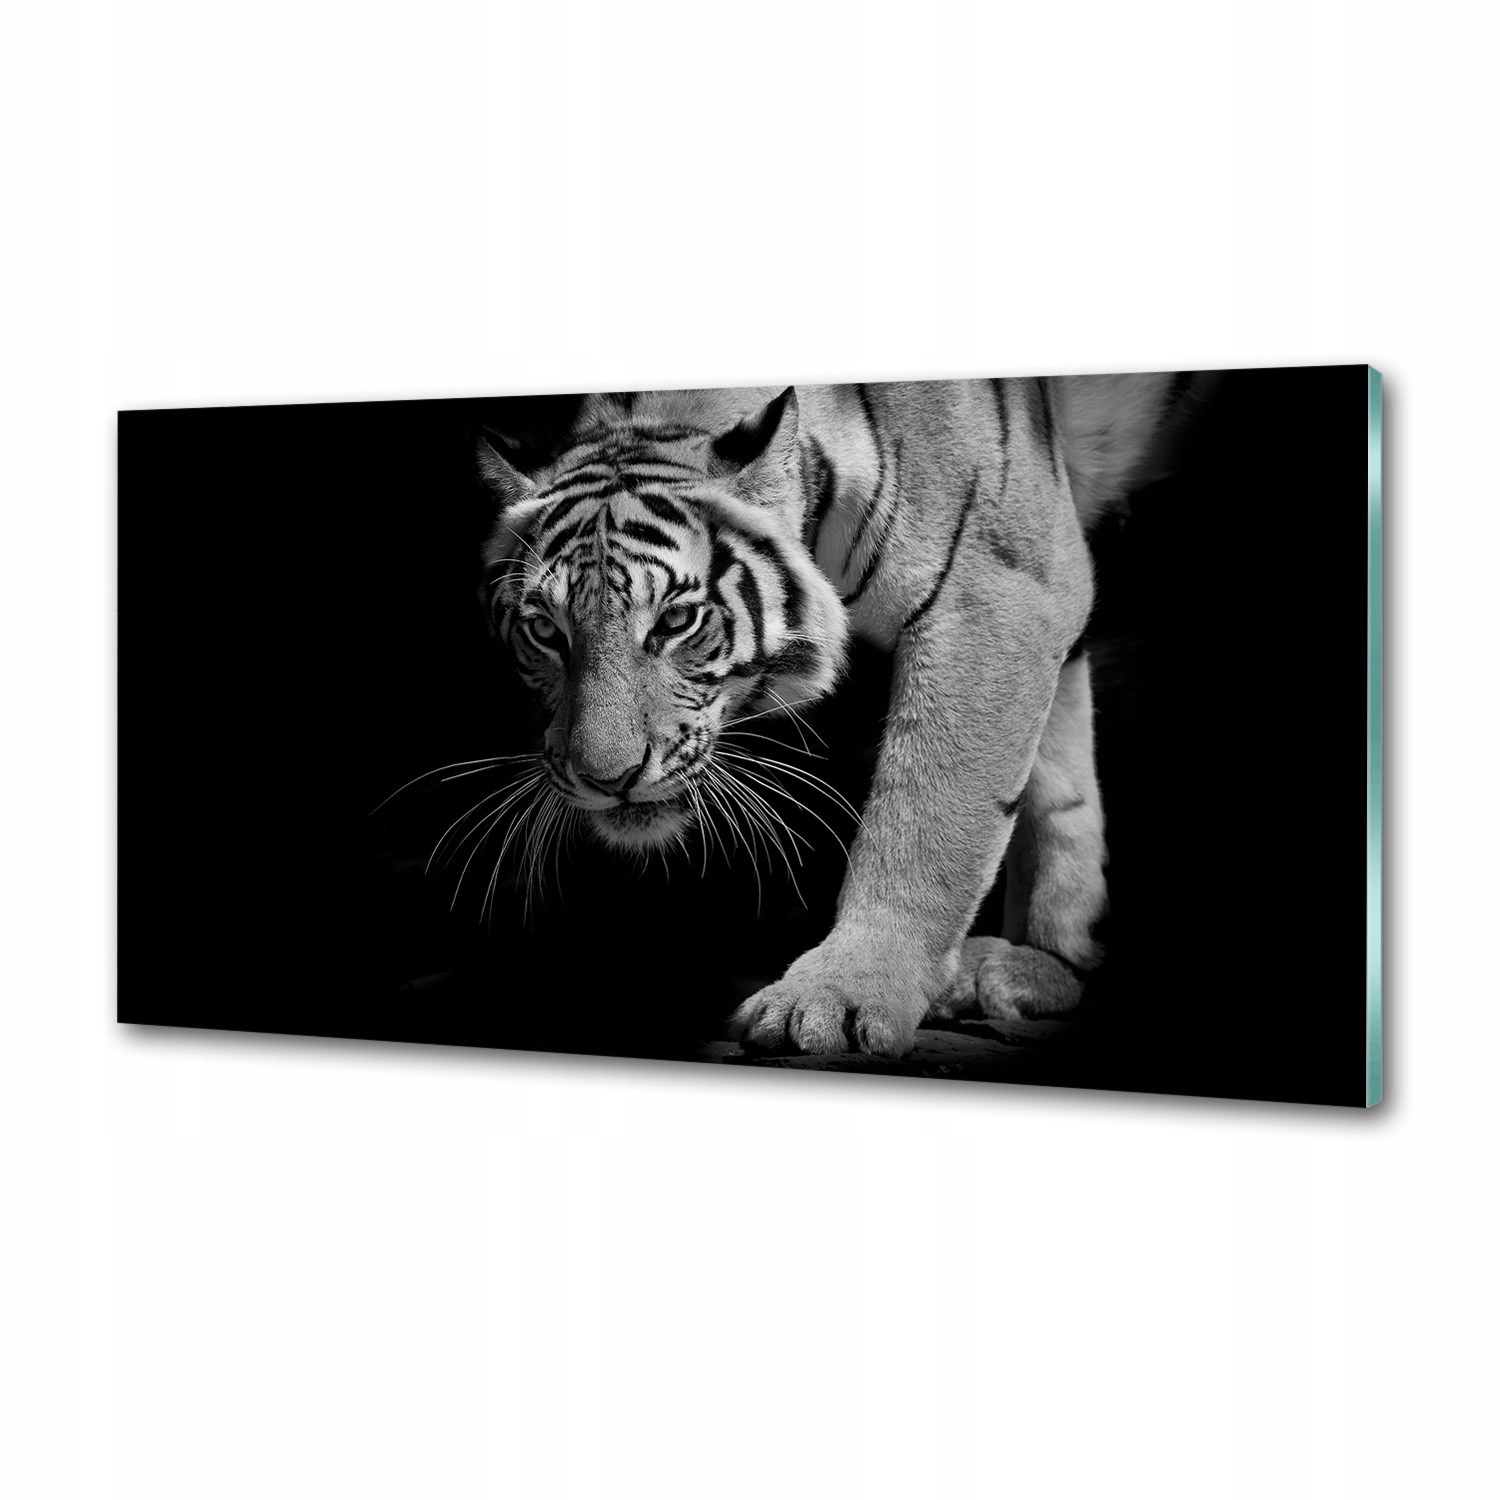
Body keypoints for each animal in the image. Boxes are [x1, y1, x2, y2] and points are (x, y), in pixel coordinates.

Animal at [475, 376, 1197, 1058]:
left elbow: (926, 823)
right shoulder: (1044, 590)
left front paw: (840, 996)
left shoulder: (999, 591)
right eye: (545, 631)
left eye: (677, 621)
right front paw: (1047, 963)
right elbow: (1058, 786)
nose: (606, 778)